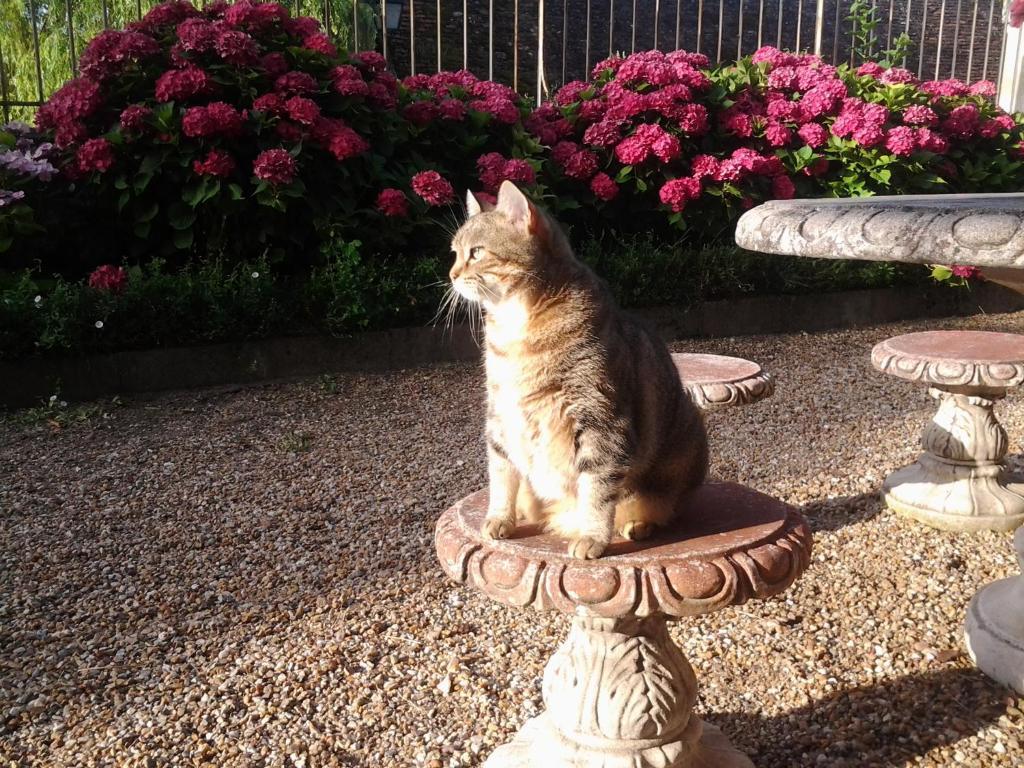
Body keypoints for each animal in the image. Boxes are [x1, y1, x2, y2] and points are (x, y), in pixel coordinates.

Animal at [452, 183, 708, 561]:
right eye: (454, 253)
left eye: (477, 252)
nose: (451, 275)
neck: (519, 322)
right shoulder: (499, 415)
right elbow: (501, 475)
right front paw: (499, 518)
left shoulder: (601, 420)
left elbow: (597, 489)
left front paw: (592, 536)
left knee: (659, 506)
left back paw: (637, 523)